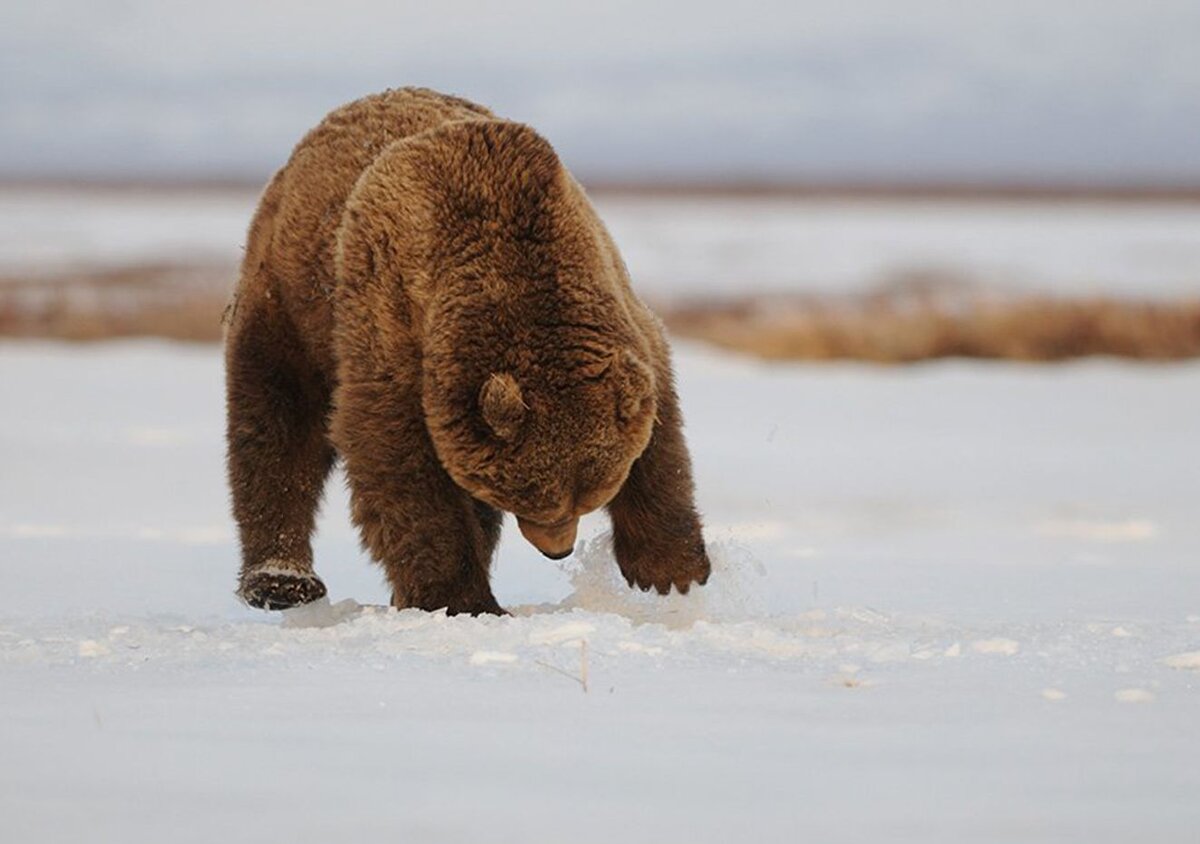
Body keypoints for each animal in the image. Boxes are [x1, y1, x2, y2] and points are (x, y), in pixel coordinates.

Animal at [225, 87, 710, 614]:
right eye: (531, 497)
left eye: (589, 496)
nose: (559, 550)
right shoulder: (392, 321)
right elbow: (395, 455)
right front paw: (462, 598)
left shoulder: (618, 303)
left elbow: (661, 430)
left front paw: (672, 572)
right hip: (288, 296)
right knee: (276, 422)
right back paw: (282, 581)